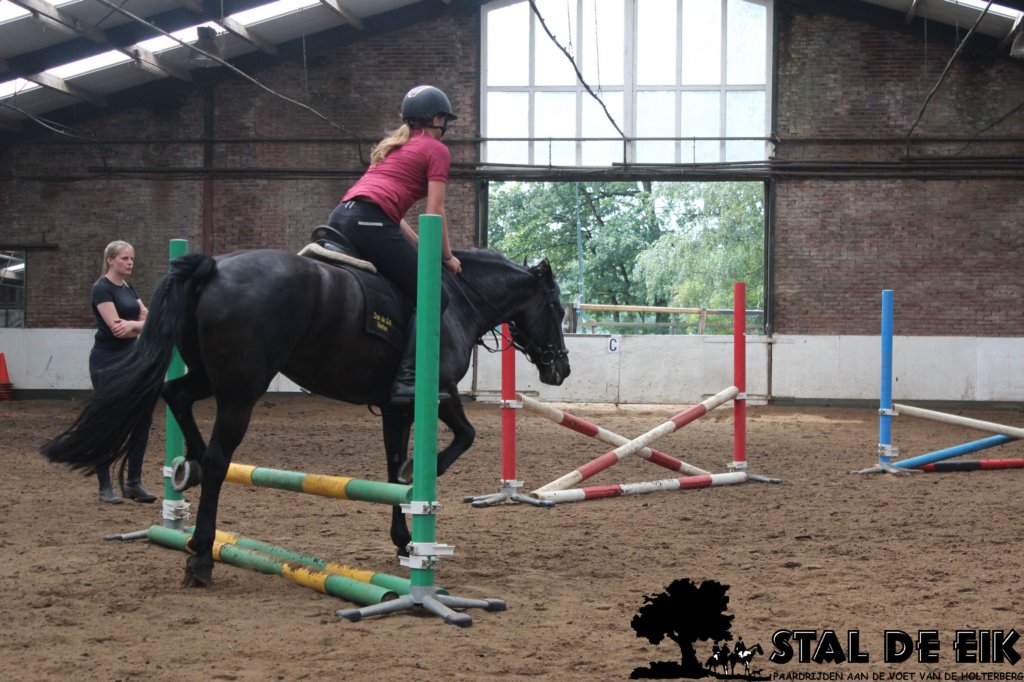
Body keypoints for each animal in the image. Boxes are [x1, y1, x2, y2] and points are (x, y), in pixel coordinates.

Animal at [40, 247, 570, 588]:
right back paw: (201, 554)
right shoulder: (435, 393)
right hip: (242, 391)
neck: (459, 299)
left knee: (176, 395)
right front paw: (422, 478)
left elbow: (391, 465)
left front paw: (404, 539)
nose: (560, 369)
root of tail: (213, 267)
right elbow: (465, 435)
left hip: (212, 378)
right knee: (218, 460)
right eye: (558, 308)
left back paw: (185, 468)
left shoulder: (395, 408)